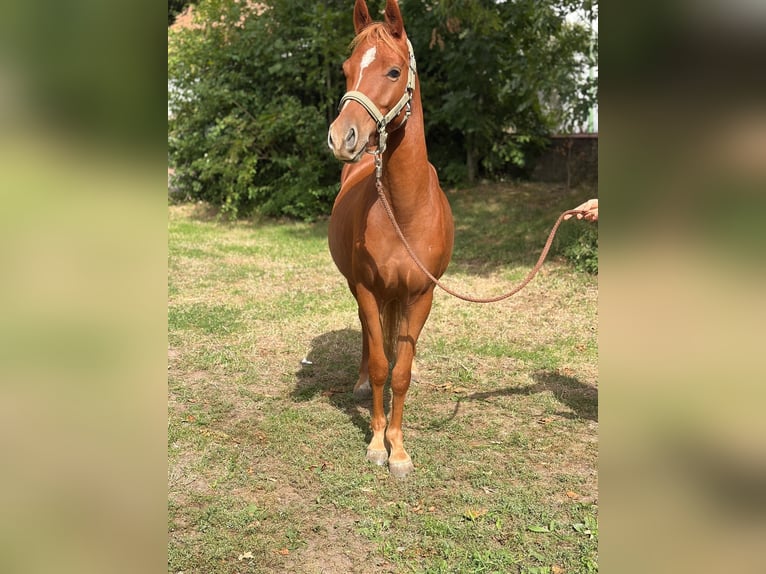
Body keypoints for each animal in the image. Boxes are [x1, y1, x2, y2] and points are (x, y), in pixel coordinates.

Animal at [327, 0, 454, 477]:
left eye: (394, 71)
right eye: (346, 69)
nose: (341, 137)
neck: (403, 208)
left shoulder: (420, 296)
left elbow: (402, 372)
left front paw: (398, 449)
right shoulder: (366, 287)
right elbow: (383, 365)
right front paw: (377, 443)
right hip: (359, 287)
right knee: (369, 335)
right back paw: (362, 383)